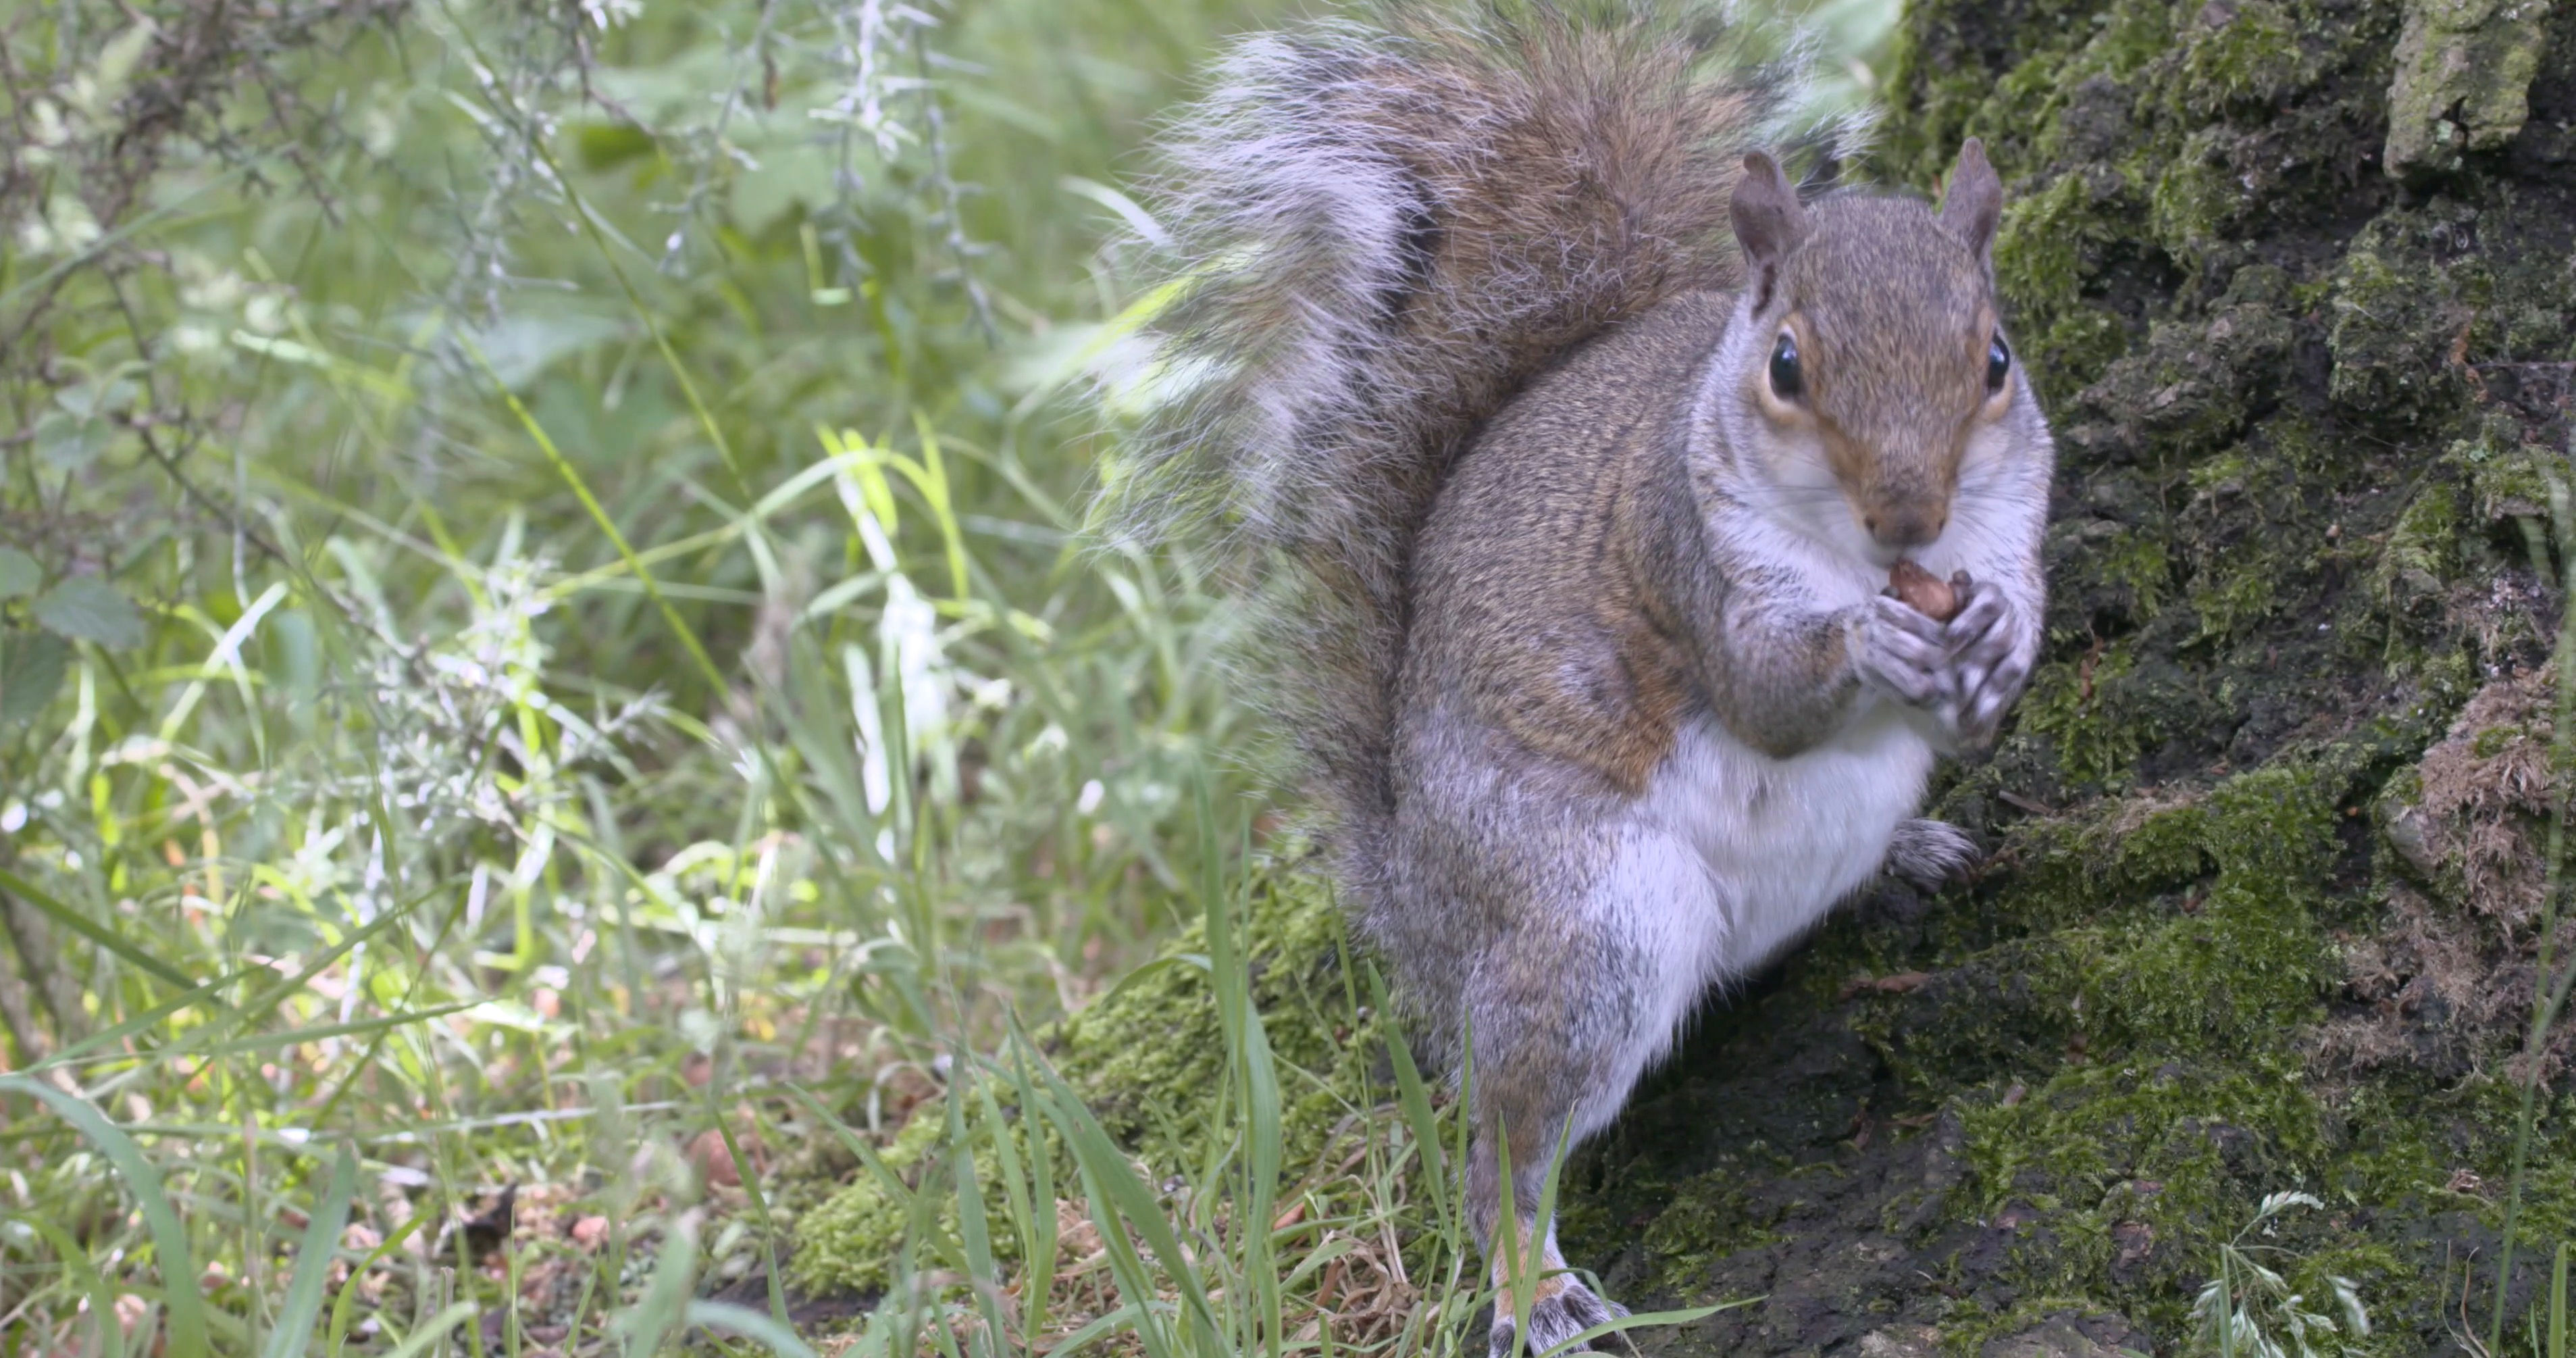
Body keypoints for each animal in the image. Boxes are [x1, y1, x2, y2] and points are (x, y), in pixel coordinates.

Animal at [1110, 4, 2051, 1351]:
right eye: (1785, 367)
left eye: (1994, 360)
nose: (1909, 520)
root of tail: (1411, 904)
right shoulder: (1681, 557)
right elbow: (1765, 696)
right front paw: (1870, 644)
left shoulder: (2011, 526)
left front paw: (1997, 651)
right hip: (1585, 917)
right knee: (1500, 1150)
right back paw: (1534, 1287)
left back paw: (1906, 857)